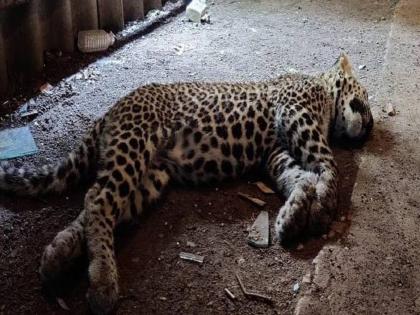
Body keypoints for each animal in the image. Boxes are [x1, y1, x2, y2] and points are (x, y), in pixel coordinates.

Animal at [0, 53, 374, 314]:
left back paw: (57, 256)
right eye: (366, 97)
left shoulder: (276, 151)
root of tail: (112, 110)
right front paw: (322, 207)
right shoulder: (297, 115)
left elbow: (300, 176)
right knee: (98, 198)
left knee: (99, 207)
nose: (370, 127)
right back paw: (103, 282)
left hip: (153, 176)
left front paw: (293, 215)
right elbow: (328, 165)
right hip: (136, 143)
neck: (322, 89)